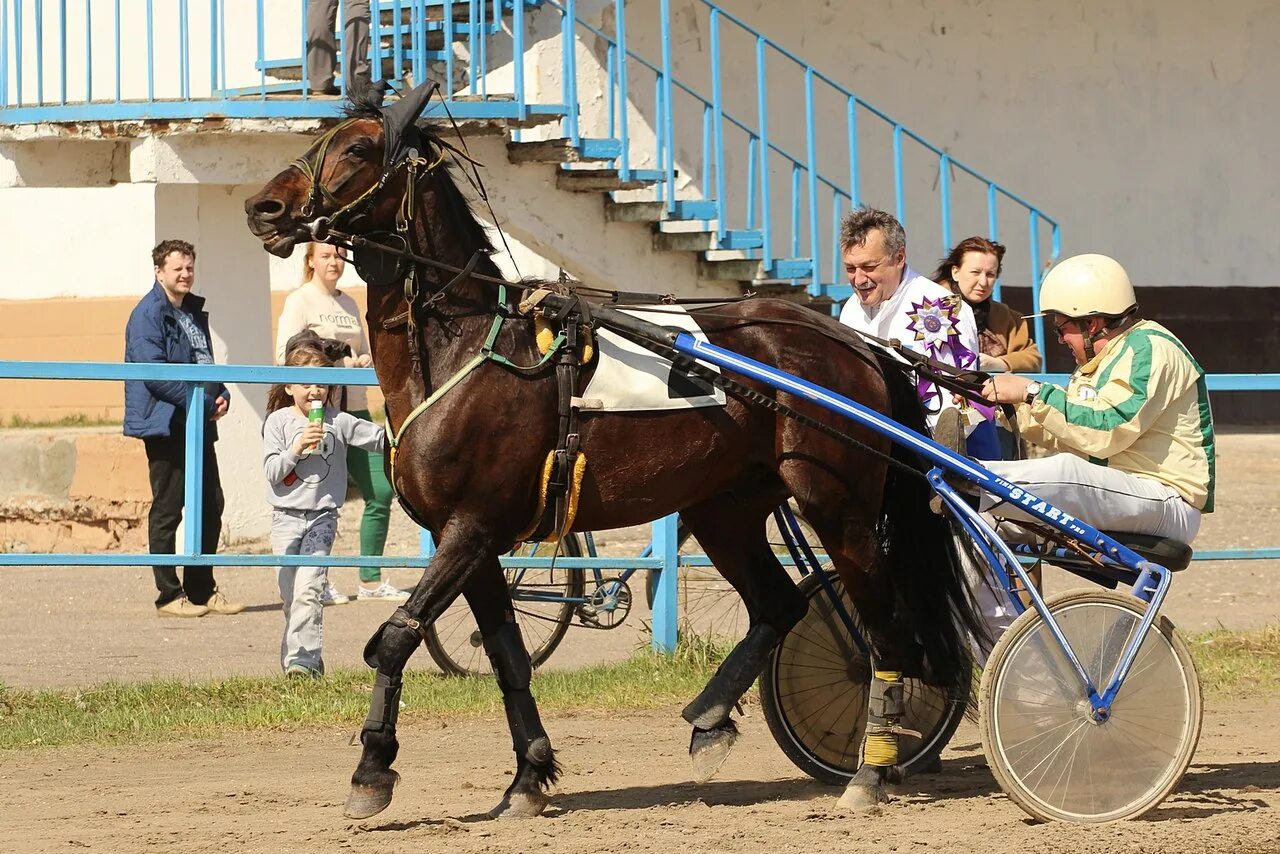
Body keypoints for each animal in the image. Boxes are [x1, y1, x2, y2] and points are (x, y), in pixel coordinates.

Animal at [244, 81, 983, 819]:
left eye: (358, 149)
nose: (262, 208)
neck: (467, 350)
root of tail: (855, 343)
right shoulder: (475, 540)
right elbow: (507, 657)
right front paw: (528, 776)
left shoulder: (472, 527)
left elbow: (395, 638)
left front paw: (372, 768)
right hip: (725, 508)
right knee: (781, 606)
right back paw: (711, 717)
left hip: (836, 504)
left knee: (885, 628)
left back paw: (870, 769)